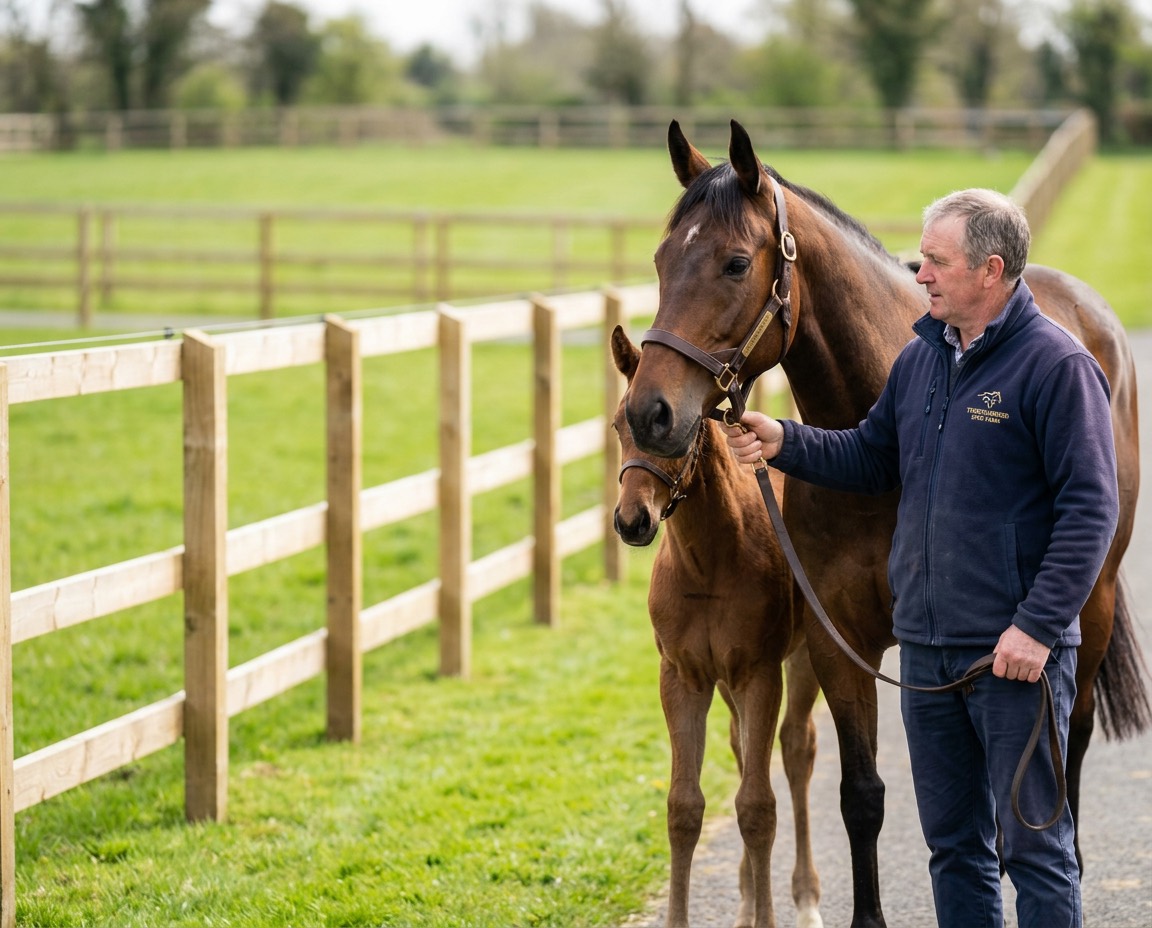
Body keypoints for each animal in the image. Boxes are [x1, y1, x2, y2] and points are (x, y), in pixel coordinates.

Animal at [611, 325, 822, 928]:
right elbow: (684, 806)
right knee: (743, 748)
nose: (631, 521)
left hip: (803, 659)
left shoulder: (759, 672)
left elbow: (756, 807)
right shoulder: (683, 676)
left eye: (674, 435)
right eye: (616, 427)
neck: (707, 563)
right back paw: (747, 900)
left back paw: (807, 899)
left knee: (796, 748)